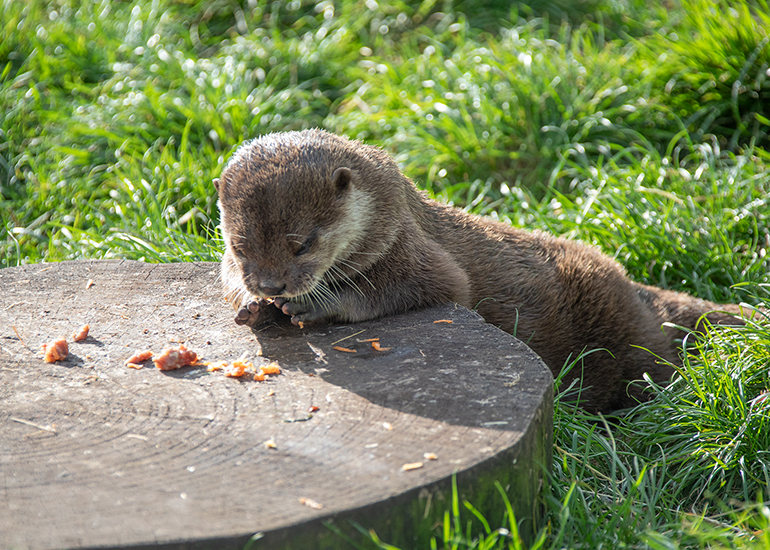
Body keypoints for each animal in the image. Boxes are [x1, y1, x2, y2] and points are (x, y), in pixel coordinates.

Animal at [214, 128, 750, 412]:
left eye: (302, 244)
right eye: (239, 246)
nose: (272, 283)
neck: (390, 214)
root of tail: (636, 287)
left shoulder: (417, 254)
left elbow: (422, 287)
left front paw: (314, 306)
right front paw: (255, 307)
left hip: (627, 334)